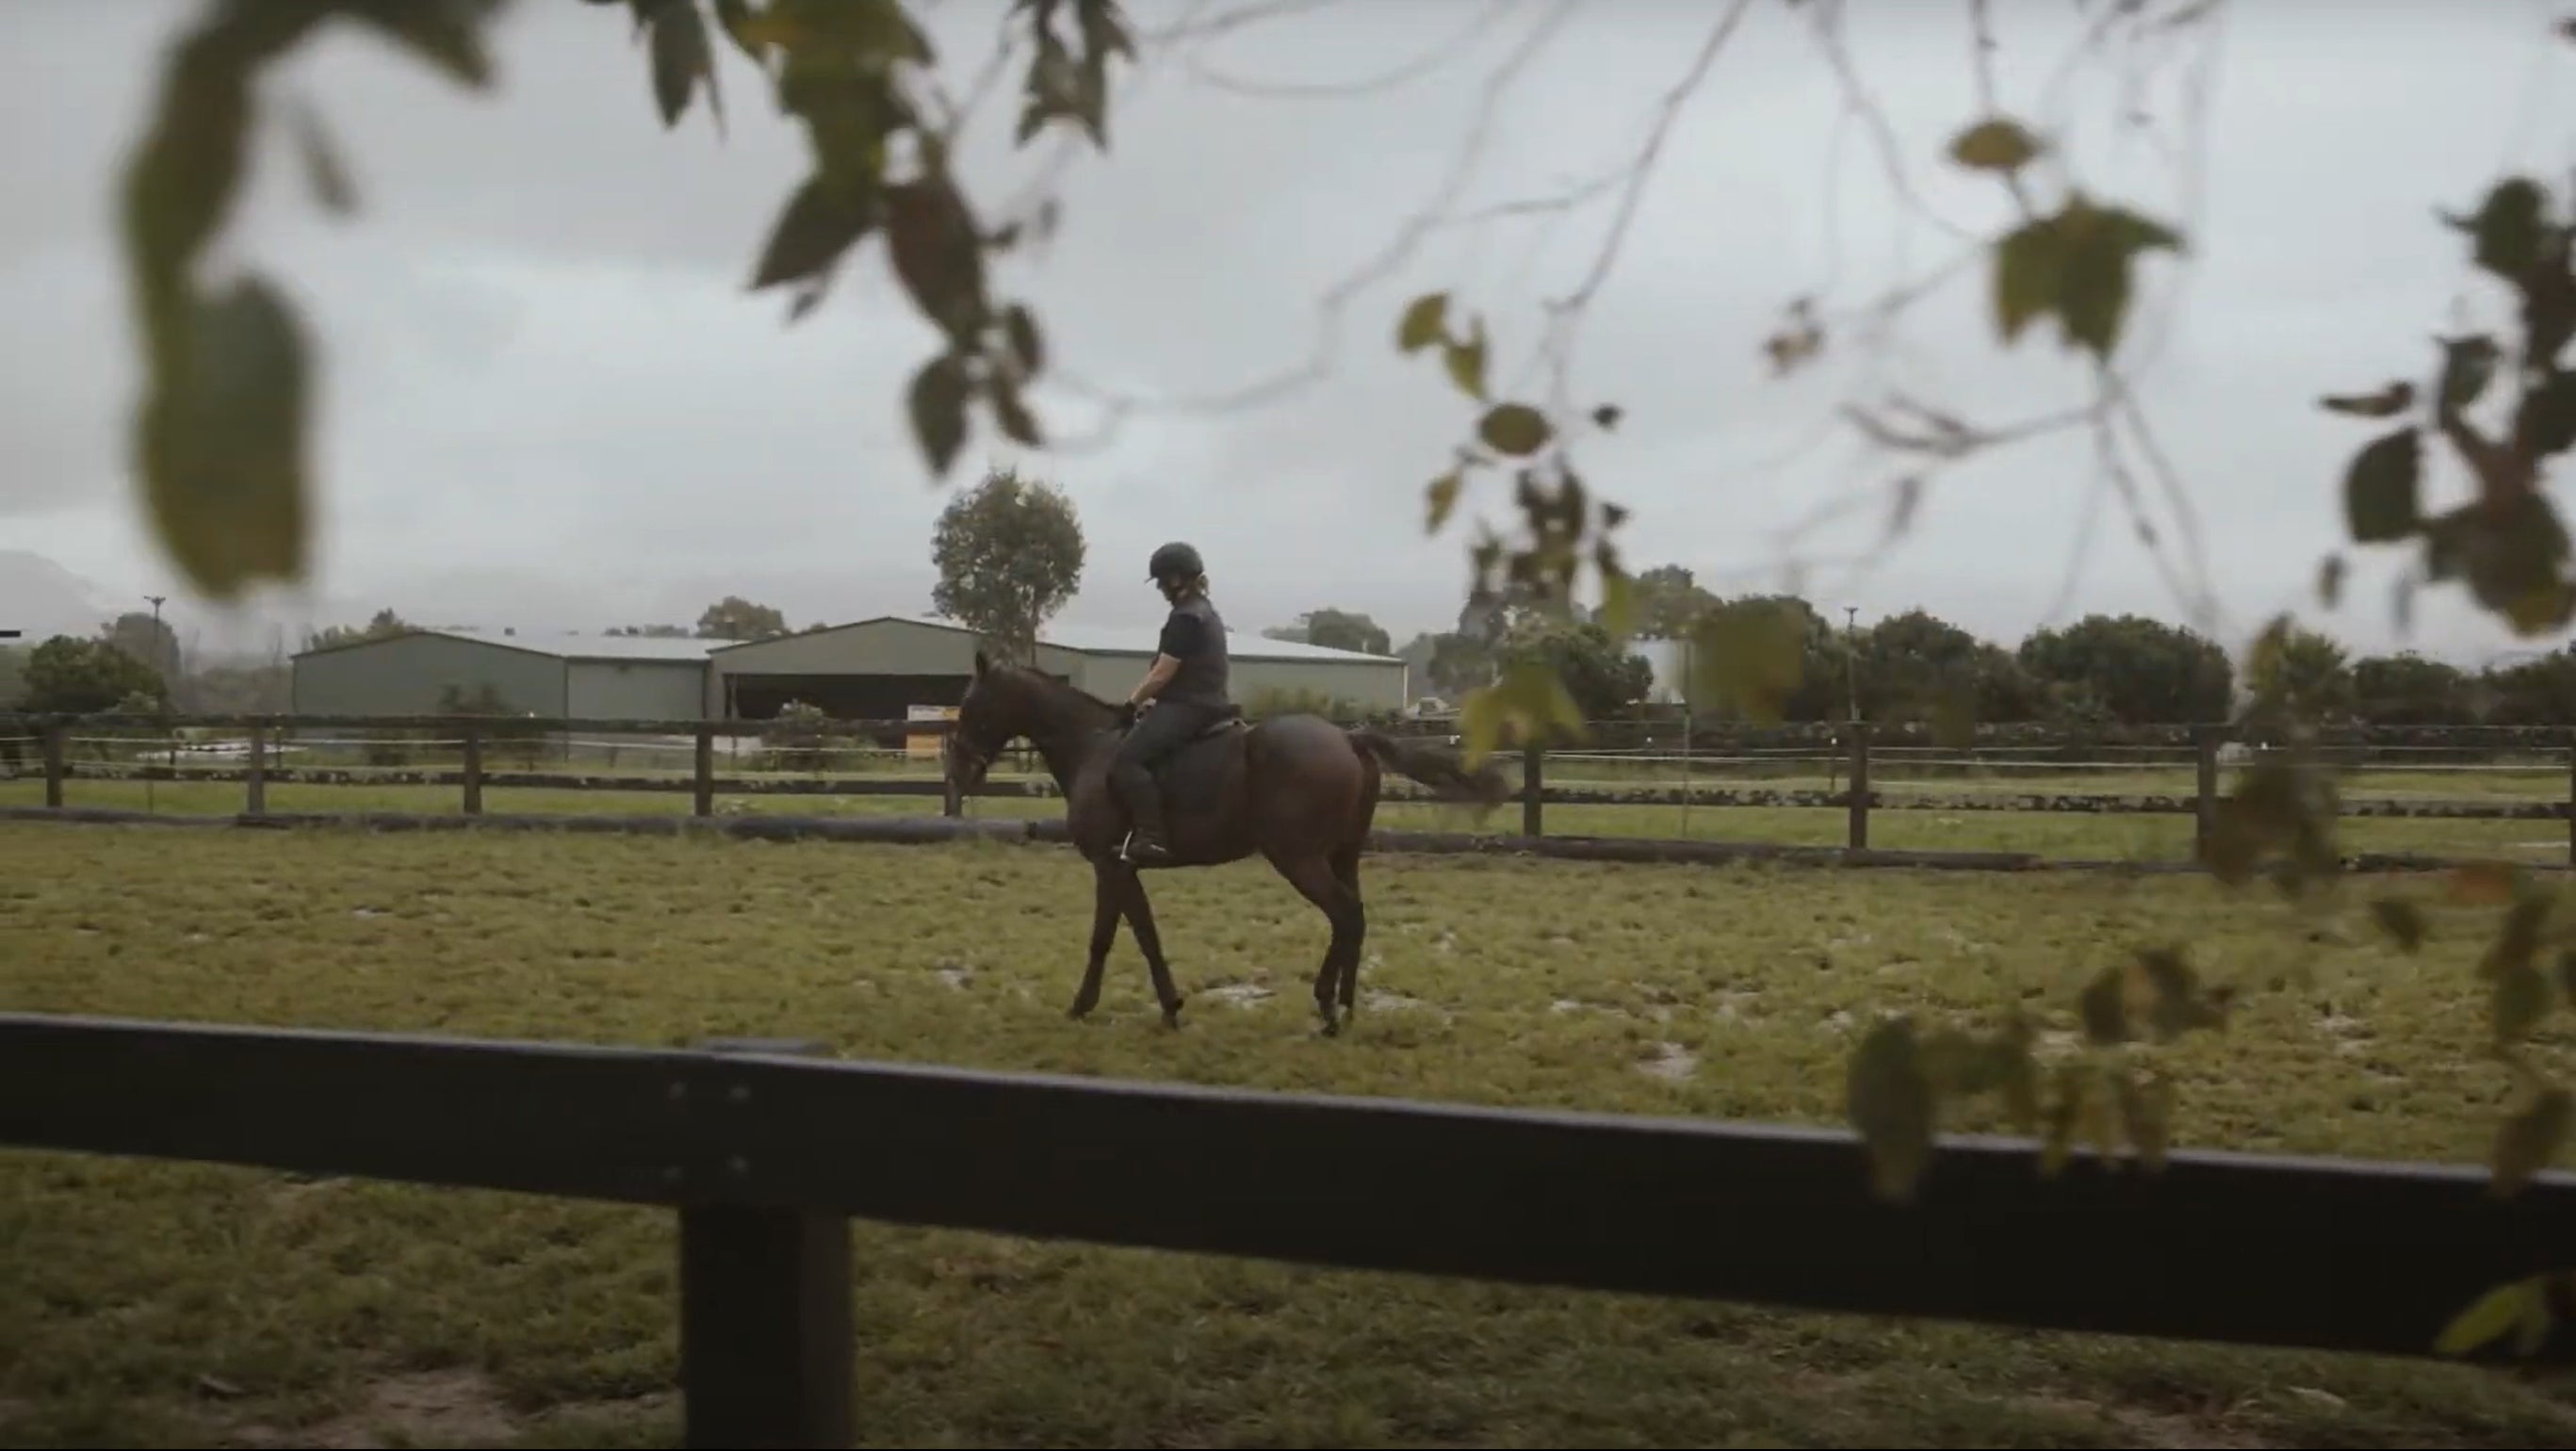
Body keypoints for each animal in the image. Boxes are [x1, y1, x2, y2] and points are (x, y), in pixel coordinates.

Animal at [948, 652, 1504, 1041]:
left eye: (972, 705)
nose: (959, 774)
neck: (1093, 746)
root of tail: (1350, 739)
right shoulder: (1121, 868)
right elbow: (1133, 935)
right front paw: (1161, 1007)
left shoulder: (1111, 865)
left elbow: (1118, 937)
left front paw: (1096, 1006)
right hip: (1342, 857)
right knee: (1357, 918)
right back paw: (1346, 1009)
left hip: (1299, 859)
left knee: (1344, 915)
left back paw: (1327, 1008)